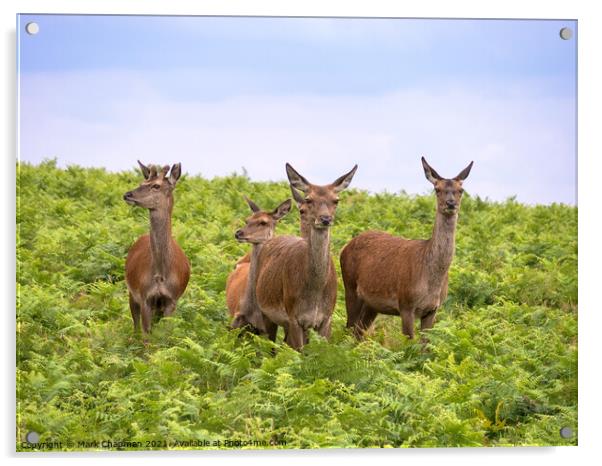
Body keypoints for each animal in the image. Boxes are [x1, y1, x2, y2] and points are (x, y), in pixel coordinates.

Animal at [125, 162, 191, 336]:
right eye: (142, 183)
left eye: (156, 185)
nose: (127, 194)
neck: (161, 275)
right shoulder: (144, 297)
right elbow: (146, 334)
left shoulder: (172, 299)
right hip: (131, 293)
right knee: (135, 325)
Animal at [239, 164, 356, 350]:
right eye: (308, 200)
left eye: (336, 200)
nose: (325, 219)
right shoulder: (294, 317)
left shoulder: (326, 319)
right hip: (266, 311)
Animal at [340, 158, 472, 340]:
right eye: (437, 189)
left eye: (461, 190)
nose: (451, 203)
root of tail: (344, 247)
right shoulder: (406, 304)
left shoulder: (432, 309)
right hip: (350, 286)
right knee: (349, 328)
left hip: (371, 304)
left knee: (358, 332)